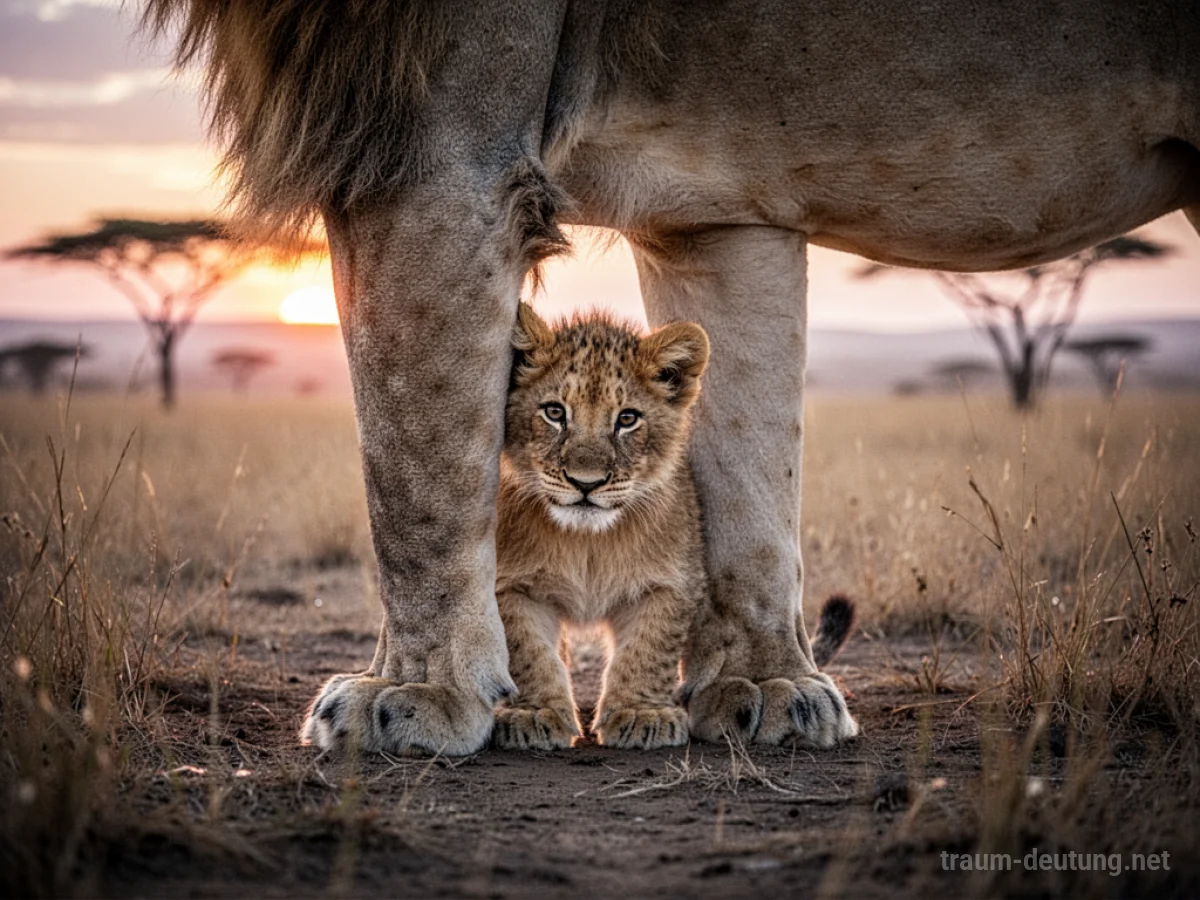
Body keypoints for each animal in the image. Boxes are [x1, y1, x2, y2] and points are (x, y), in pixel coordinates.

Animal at [146, 0, 1199, 757]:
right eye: (553, 413)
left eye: (624, 423)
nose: (584, 479)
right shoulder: (720, 205)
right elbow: (749, 474)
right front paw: (770, 690)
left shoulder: (429, 135)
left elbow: (412, 459)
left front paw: (412, 694)